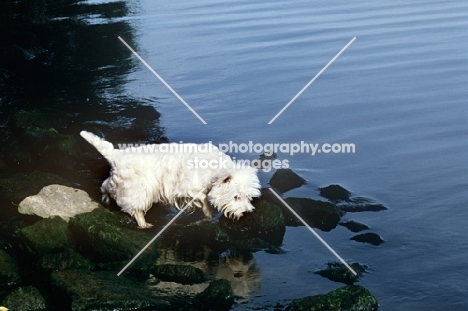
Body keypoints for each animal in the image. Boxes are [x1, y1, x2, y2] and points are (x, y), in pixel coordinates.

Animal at [81, 132, 264, 229]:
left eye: (248, 197)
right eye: (236, 196)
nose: (247, 212)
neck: (214, 170)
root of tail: (117, 155)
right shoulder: (187, 188)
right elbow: (203, 200)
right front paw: (207, 214)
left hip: (120, 181)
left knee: (105, 185)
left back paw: (106, 199)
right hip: (138, 189)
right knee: (136, 208)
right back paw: (145, 224)